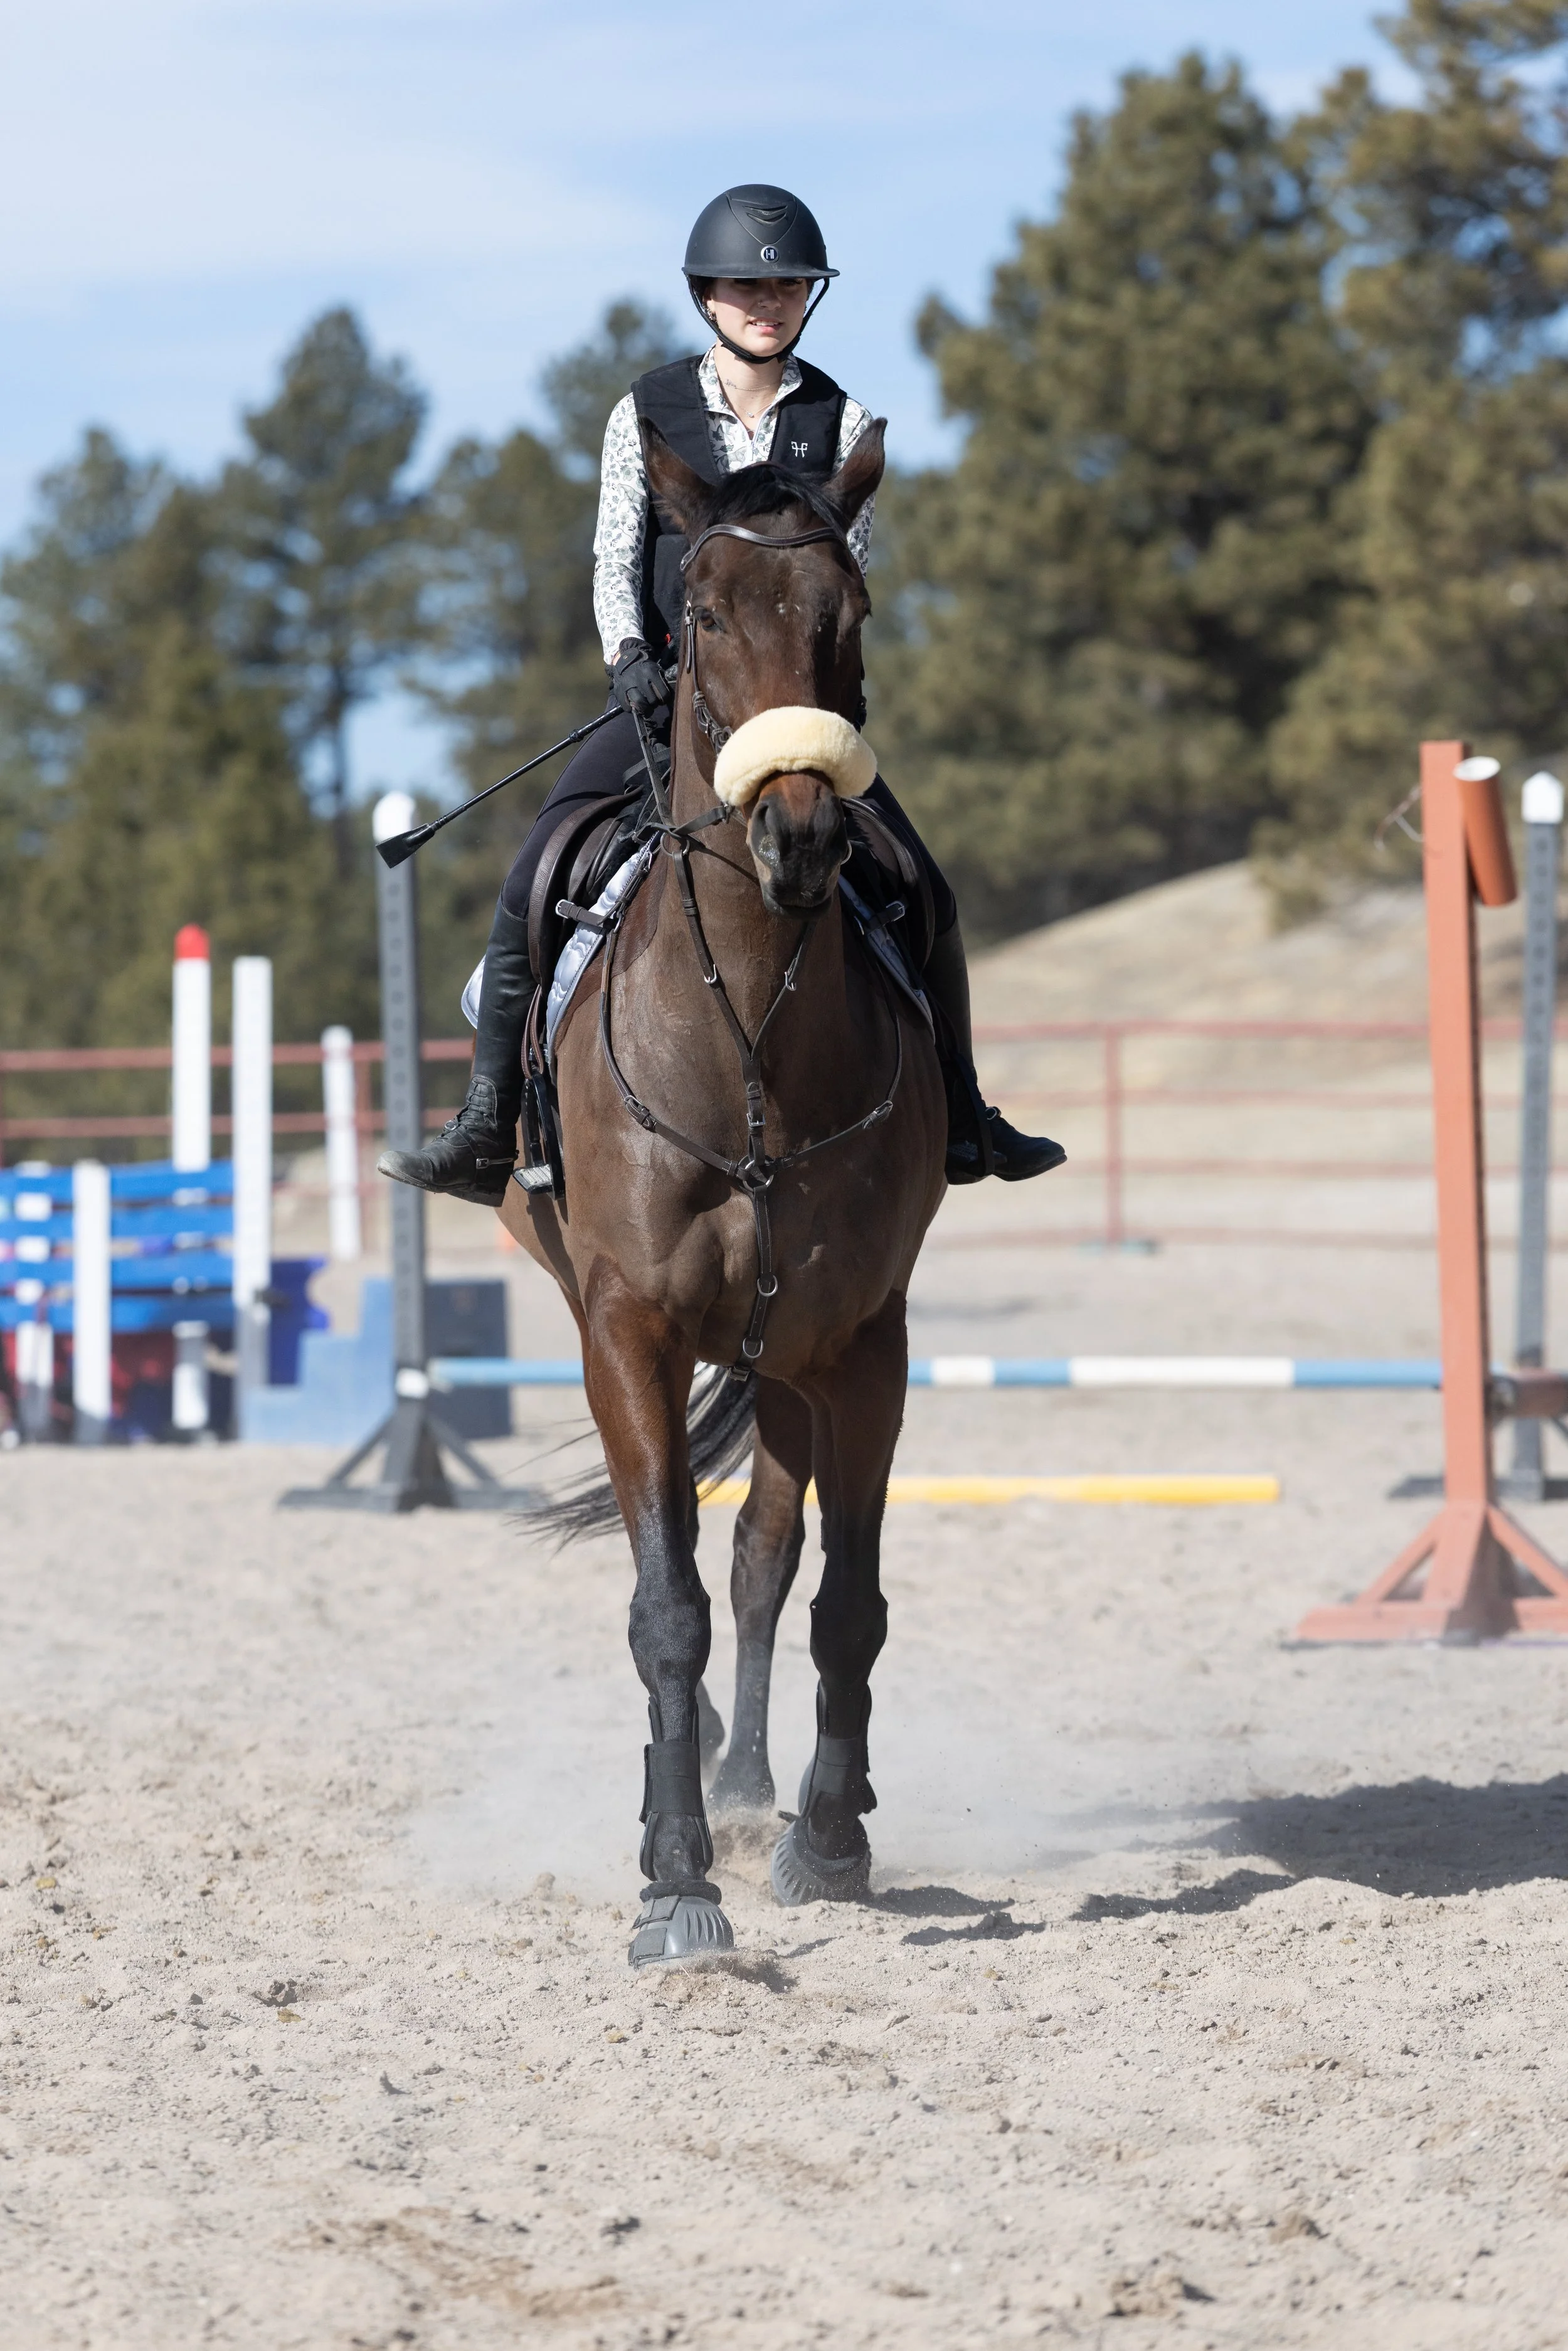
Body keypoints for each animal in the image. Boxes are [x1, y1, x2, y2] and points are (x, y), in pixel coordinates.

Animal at [500, 415, 947, 1965]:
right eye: (697, 610)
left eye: (848, 611)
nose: (799, 833)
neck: (747, 1036)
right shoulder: (625, 1334)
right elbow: (664, 1608)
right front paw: (677, 1881)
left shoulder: (862, 1342)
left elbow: (842, 1602)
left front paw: (825, 1838)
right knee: (696, 1569)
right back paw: (688, 1791)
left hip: (788, 1360)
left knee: (763, 1551)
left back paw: (771, 1787)